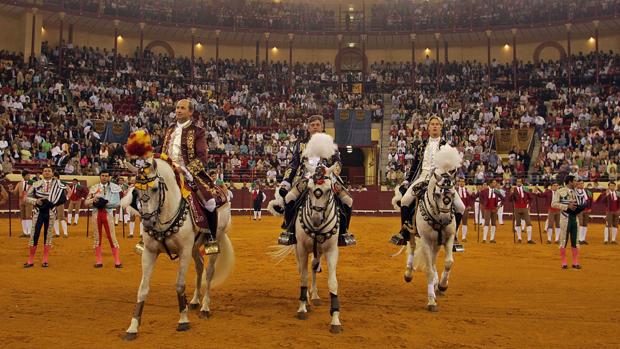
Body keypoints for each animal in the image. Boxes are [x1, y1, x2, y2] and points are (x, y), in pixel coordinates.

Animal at [122, 156, 234, 338]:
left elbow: (180, 284)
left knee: (209, 271)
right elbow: (143, 288)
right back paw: (195, 301)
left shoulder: (184, 251)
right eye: (136, 192)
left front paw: (183, 320)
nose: (147, 221)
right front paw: (133, 327)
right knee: (199, 266)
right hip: (195, 247)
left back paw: (205, 307)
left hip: (215, 239)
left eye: (155, 189)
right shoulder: (149, 252)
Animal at [402, 144, 460, 310]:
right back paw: (409, 273)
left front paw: (442, 285)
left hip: (437, 242)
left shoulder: (449, 237)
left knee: (434, 262)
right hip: (411, 231)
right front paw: (431, 301)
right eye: (438, 194)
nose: (446, 219)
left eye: (453, 194)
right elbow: (428, 270)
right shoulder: (426, 240)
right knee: (413, 247)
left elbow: (448, 262)